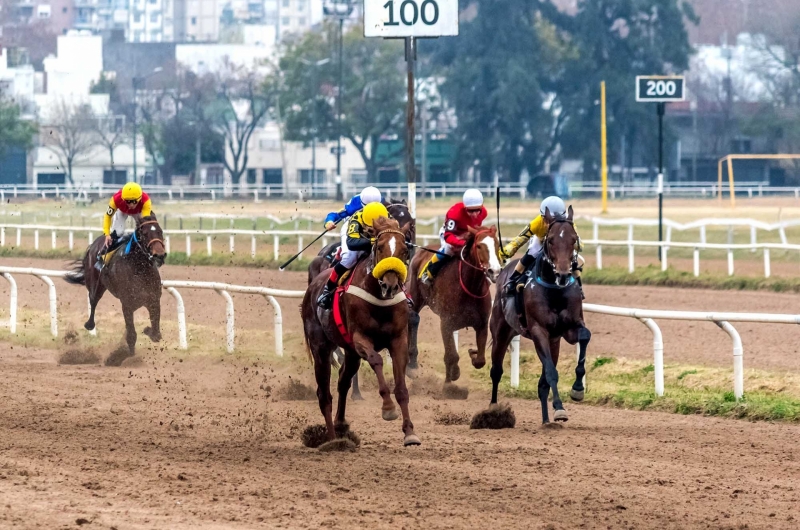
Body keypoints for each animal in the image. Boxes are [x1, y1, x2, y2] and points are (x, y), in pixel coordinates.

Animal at [65, 212, 167, 366]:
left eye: (160, 231)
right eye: (144, 233)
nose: (159, 255)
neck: (139, 268)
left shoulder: (153, 300)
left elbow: (156, 334)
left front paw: (147, 330)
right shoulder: (127, 305)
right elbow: (131, 335)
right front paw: (128, 358)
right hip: (96, 285)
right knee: (93, 300)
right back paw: (90, 324)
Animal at [300, 216, 418, 446]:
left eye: (404, 250)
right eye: (379, 247)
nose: (390, 285)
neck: (379, 298)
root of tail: (312, 287)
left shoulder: (398, 339)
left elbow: (401, 388)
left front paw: (410, 432)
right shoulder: (360, 339)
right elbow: (377, 360)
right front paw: (388, 408)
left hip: (351, 353)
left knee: (343, 381)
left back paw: (341, 425)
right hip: (321, 348)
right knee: (324, 394)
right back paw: (332, 440)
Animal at [406, 224, 500, 384]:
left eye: (497, 244)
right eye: (479, 246)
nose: (495, 271)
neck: (470, 287)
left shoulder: (482, 324)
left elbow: (480, 360)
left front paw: (473, 352)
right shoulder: (446, 323)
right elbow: (452, 356)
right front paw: (453, 374)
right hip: (415, 298)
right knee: (412, 319)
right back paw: (411, 363)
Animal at [484, 204, 592, 422]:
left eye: (574, 239)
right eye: (550, 240)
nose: (563, 274)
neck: (554, 289)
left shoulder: (569, 328)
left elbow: (584, 337)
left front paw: (577, 390)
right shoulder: (538, 330)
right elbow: (551, 372)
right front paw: (559, 406)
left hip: (554, 341)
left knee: (542, 385)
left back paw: (546, 420)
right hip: (501, 331)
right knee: (496, 371)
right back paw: (493, 410)